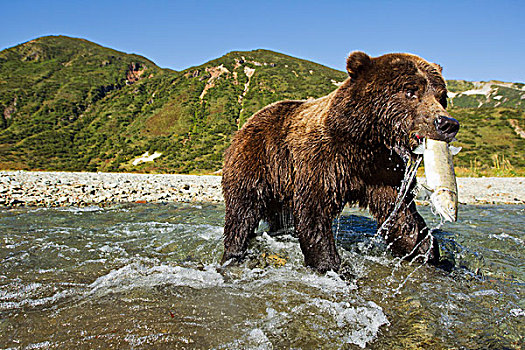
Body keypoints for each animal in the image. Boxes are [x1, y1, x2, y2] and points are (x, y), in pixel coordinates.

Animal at [221, 51, 458, 274]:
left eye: (441, 96)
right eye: (410, 91)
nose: (447, 123)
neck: (363, 144)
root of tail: (249, 121)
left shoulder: (385, 171)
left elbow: (401, 214)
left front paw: (427, 251)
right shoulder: (322, 161)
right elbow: (314, 213)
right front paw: (330, 265)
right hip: (258, 161)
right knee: (243, 210)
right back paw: (234, 252)